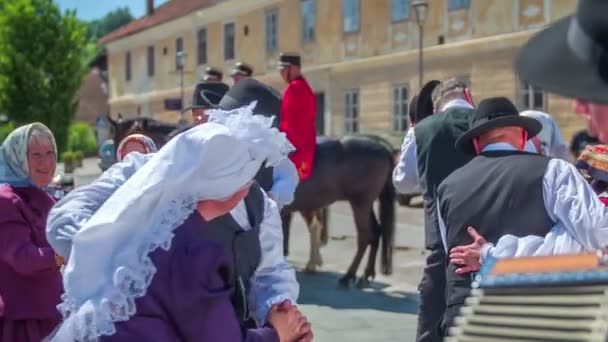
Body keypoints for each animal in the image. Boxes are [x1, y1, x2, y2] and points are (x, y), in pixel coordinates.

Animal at [282, 136, 396, 288]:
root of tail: (382, 148)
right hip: (364, 204)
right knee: (377, 232)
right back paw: (366, 274)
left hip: (360, 203)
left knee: (365, 236)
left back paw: (348, 276)